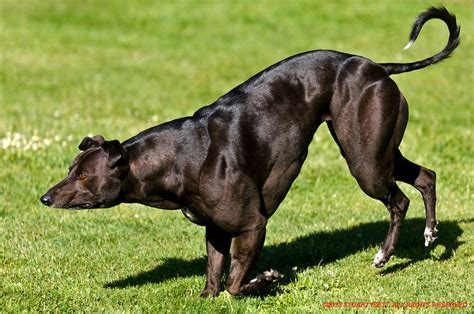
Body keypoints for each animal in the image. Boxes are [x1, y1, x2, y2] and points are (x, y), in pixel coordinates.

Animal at [40, 7, 460, 296]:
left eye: (84, 175)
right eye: (71, 167)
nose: (44, 198)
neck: (178, 158)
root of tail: (376, 67)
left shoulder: (251, 225)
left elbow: (234, 282)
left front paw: (266, 278)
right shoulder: (215, 230)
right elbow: (214, 279)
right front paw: (213, 294)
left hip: (366, 162)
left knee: (398, 200)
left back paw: (384, 255)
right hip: (379, 150)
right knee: (426, 176)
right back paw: (430, 233)